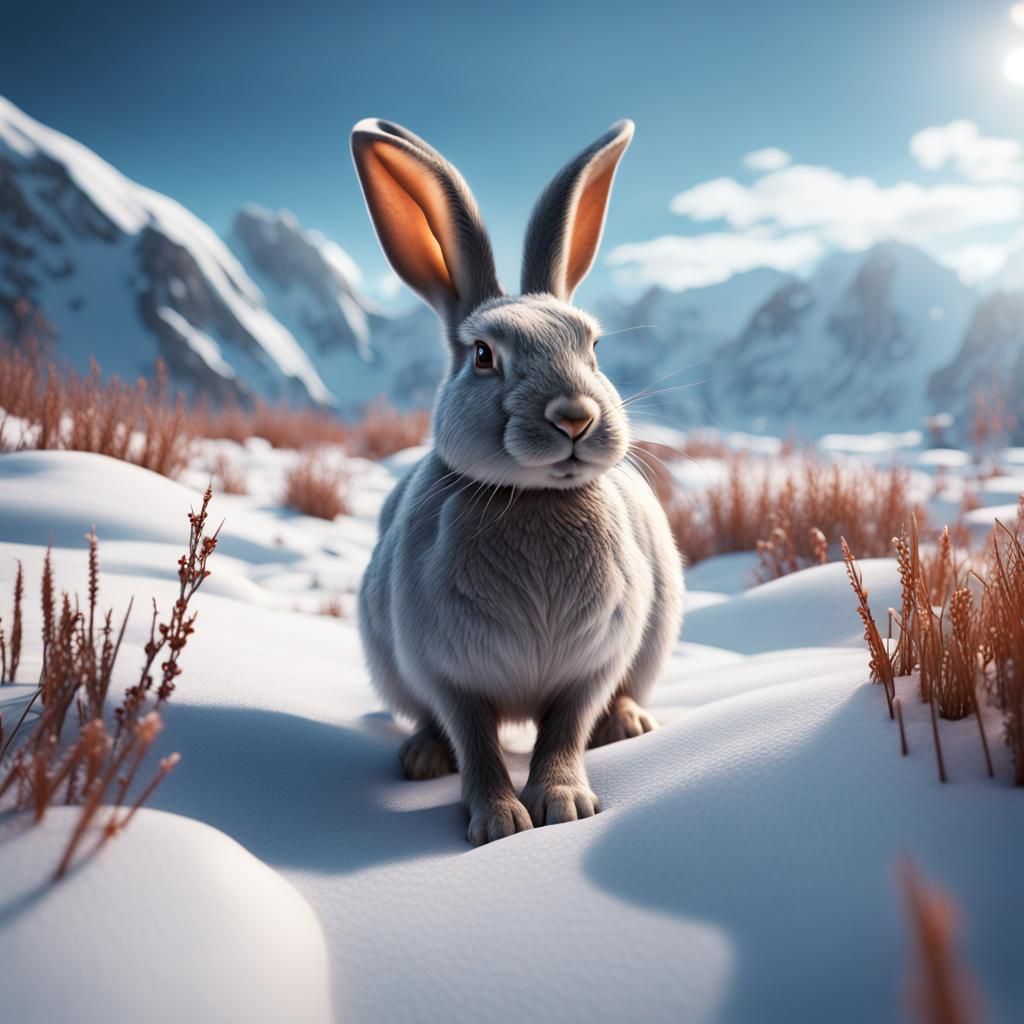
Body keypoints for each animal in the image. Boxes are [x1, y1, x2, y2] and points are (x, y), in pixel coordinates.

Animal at [351, 117, 684, 846]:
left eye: (594, 348)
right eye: (483, 355)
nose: (575, 417)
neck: (532, 498)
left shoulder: (592, 665)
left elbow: (564, 732)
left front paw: (563, 805)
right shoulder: (447, 673)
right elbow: (476, 742)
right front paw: (500, 822)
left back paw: (628, 724)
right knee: (433, 726)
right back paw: (422, 757)